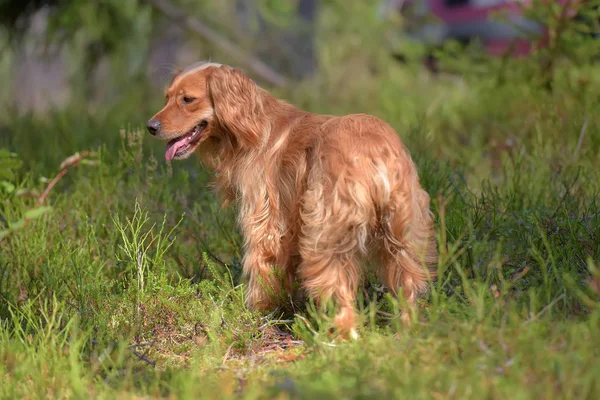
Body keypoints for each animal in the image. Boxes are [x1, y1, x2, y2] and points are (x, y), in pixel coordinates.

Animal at [145, 61, 436, 338]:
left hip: (326, 238)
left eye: (188, 99)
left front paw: (255, 311)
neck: (252, 123)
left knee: (340, 295)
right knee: (407, 287)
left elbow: (261, 270)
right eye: (167, 97)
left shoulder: (264, 222)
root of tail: (372, 149)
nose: (150, 127)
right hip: (402, 236)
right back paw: (407, 332)